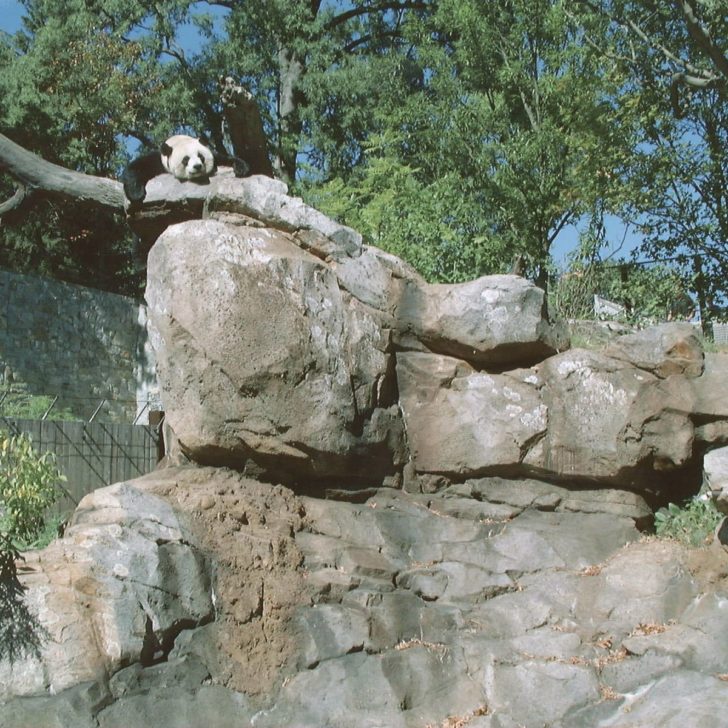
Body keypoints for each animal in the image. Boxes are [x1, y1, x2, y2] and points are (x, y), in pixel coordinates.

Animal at [121, 133, 252, 202]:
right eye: (185, 159)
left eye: (201, 156)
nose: (197, 166)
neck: (178, 140)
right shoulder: (159, 160)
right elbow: (137, 167)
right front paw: (137, 194)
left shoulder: (214, 156)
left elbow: (224, 158)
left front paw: (242, 168)